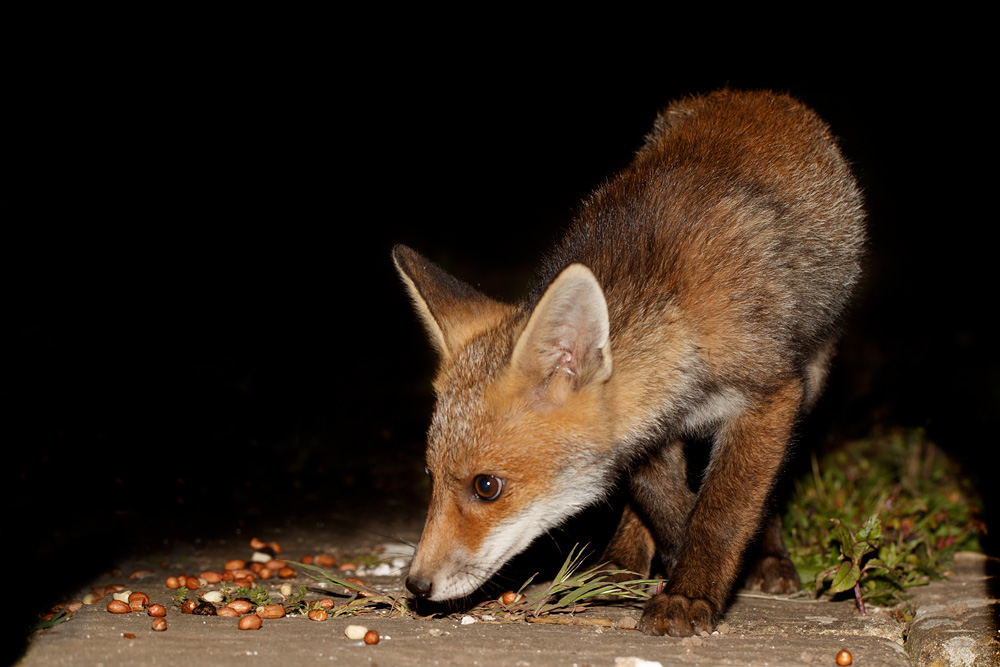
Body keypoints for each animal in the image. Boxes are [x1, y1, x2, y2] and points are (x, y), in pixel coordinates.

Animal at [393, 89, 865, 636]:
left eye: (486, 487)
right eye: (430, 476)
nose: (416, 585)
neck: (678, 319)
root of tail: (751, 94)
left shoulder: (768, 396)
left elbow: (722, 514)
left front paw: (690, 590)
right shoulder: (645, 430)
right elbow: (665, 502)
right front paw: (672, 560)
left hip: (810, 376)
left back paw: (768, 556)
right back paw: (621, 564)